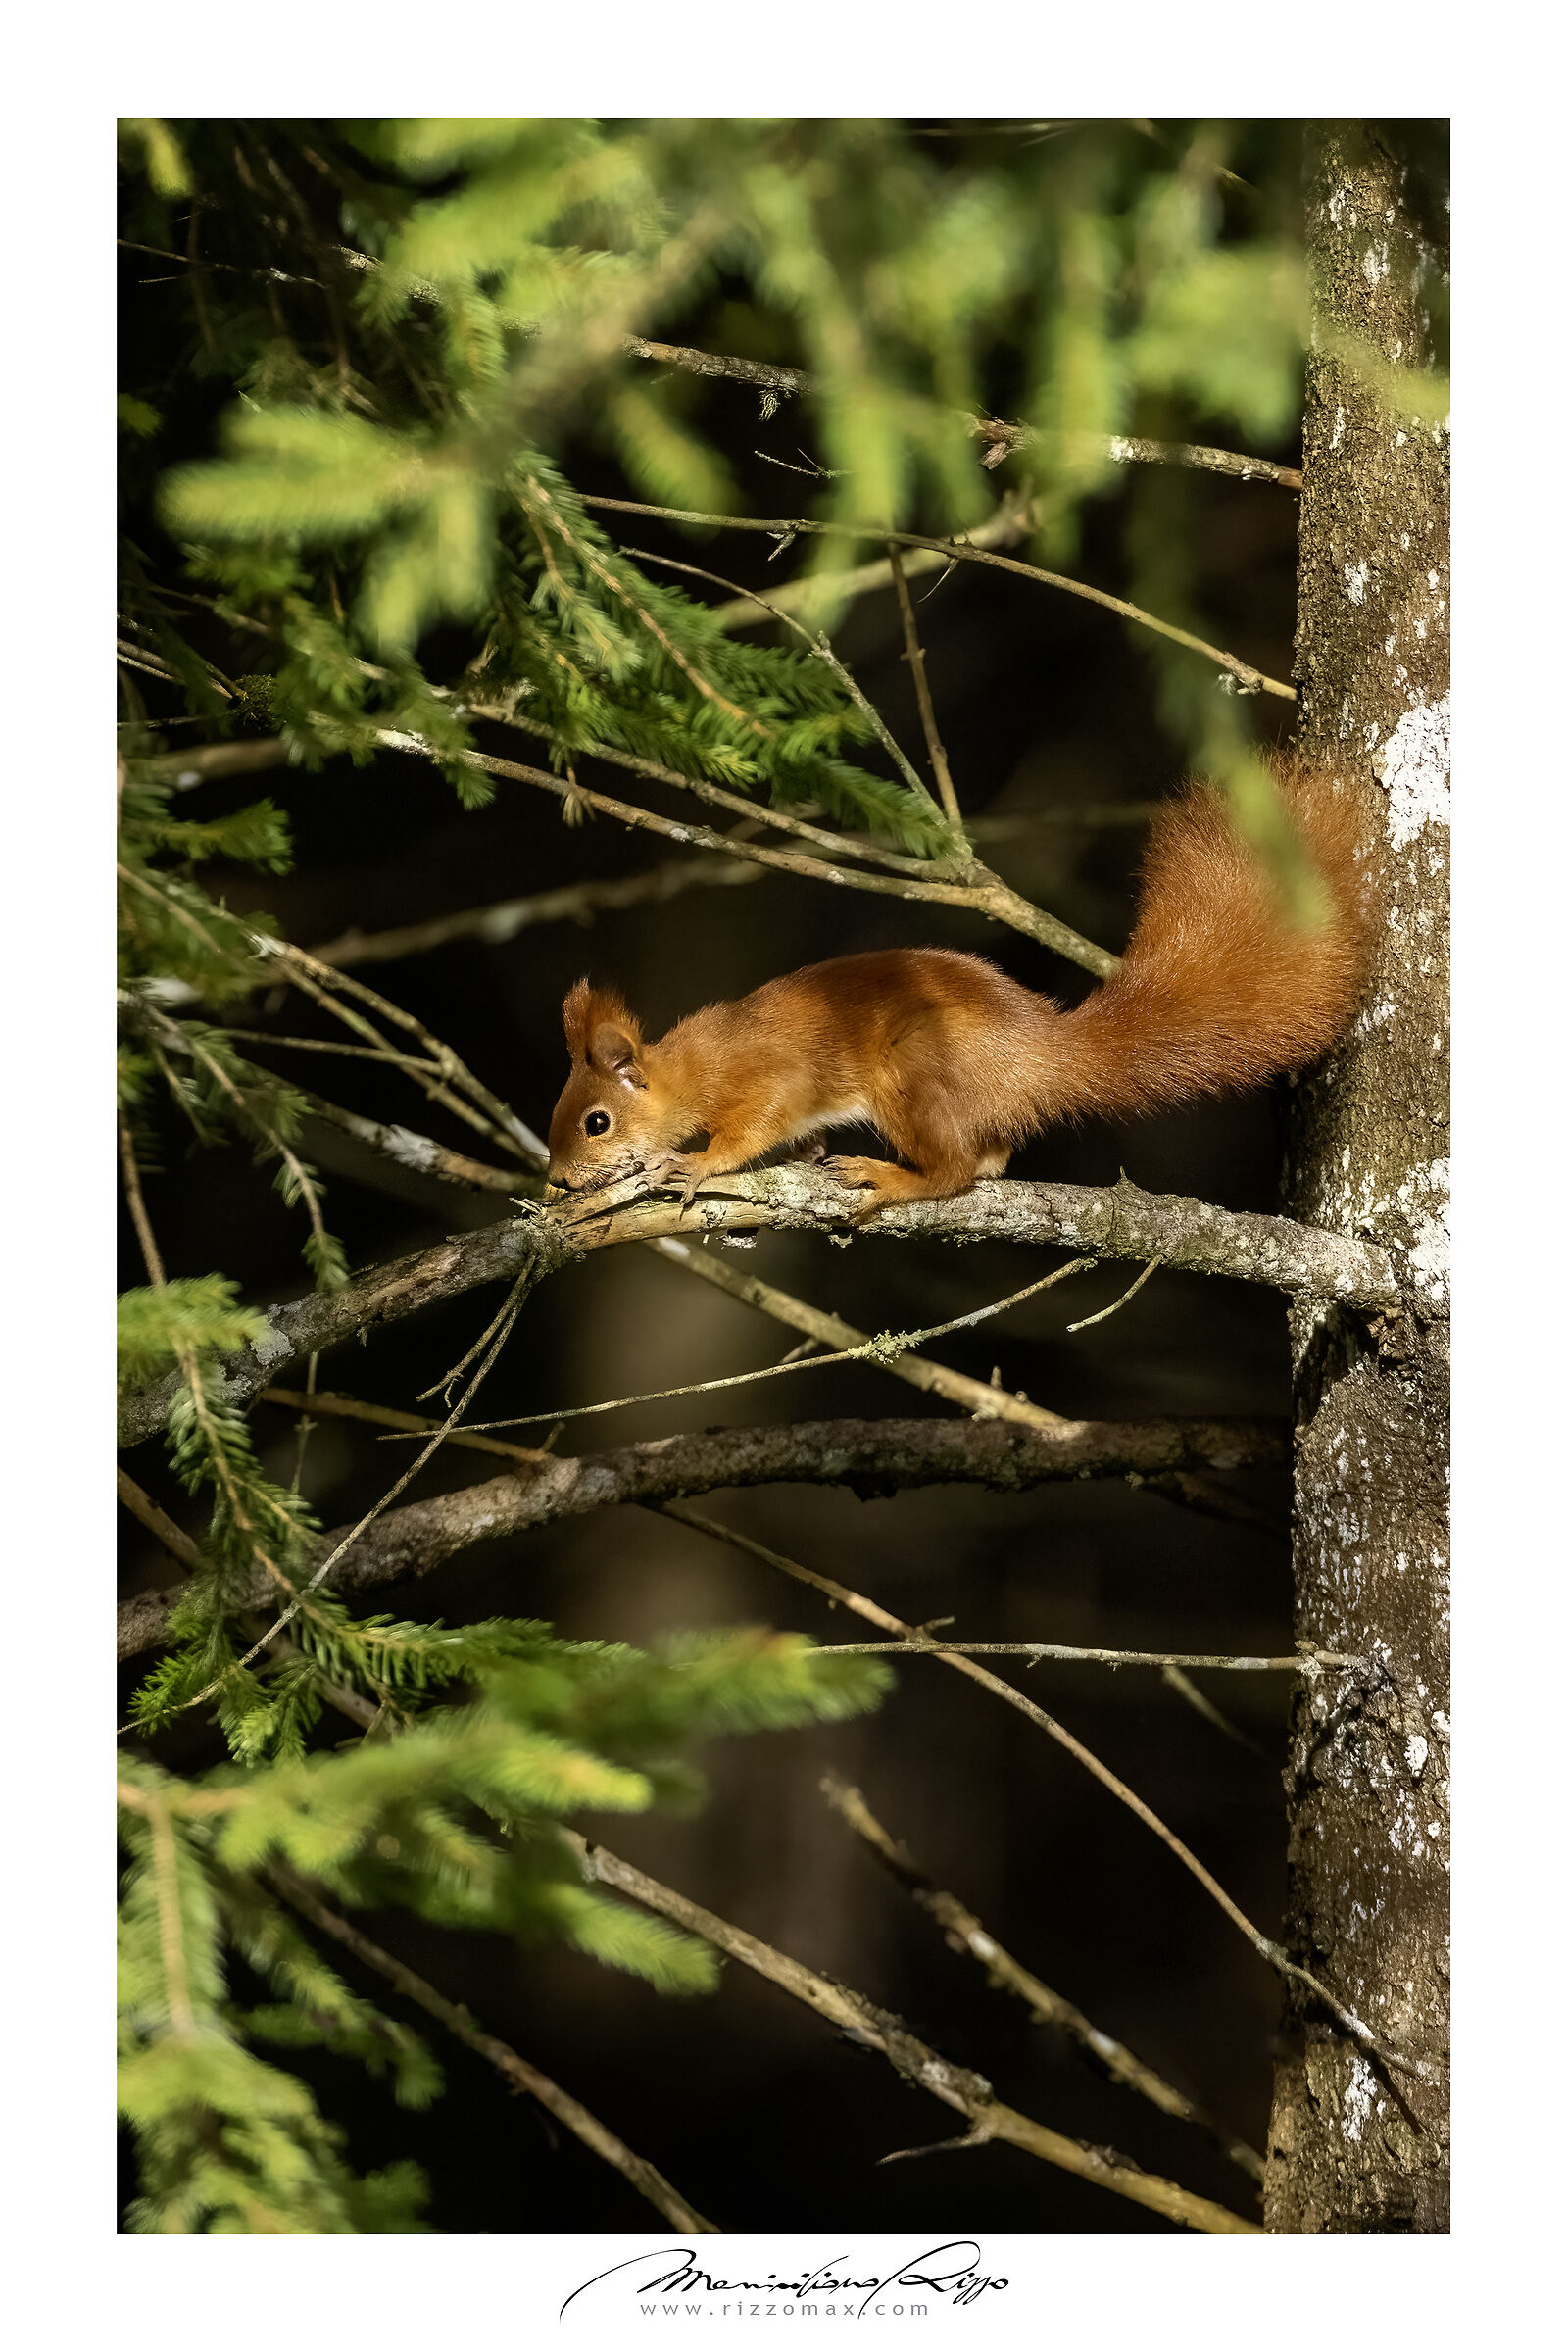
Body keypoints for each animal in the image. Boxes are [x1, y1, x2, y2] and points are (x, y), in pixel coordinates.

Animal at [545, 751, 1370, 1210]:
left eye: (597, 1122)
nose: (556, 1183)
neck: (688, 1066)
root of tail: (1045, 1059)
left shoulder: (765, 1076)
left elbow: (753, 1125)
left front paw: (692, 1160)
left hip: (912, 1069)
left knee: (955, 1171)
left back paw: (894, 1179)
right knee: (991, 1160)